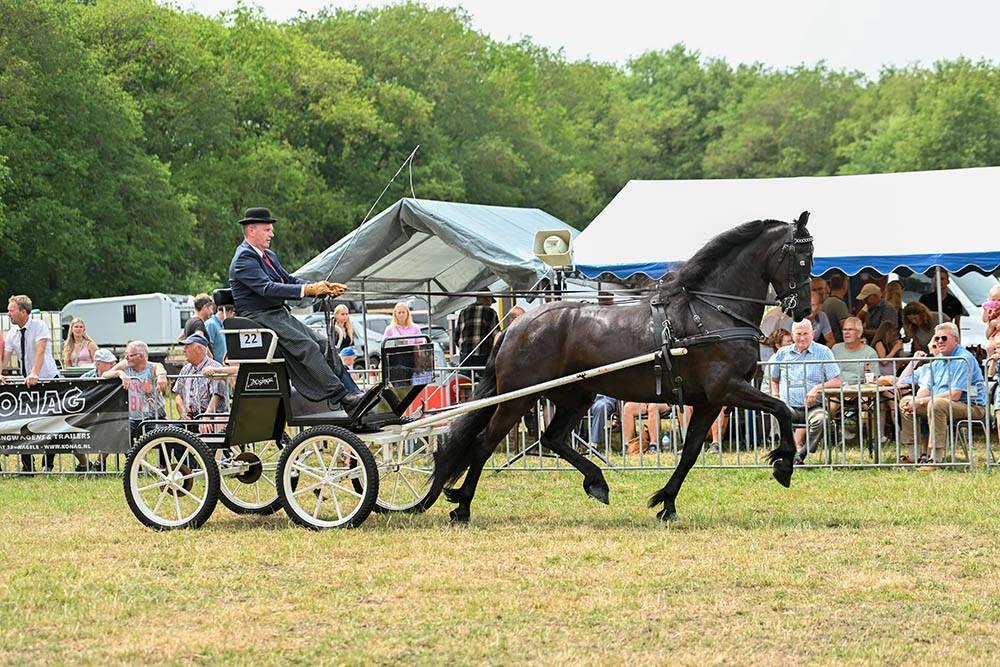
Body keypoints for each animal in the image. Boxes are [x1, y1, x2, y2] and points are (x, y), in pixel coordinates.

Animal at [428, 214, 812, 520]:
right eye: (802, 257)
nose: (804, 309)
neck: (712, 311)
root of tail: (515, 326)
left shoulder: (709, 402)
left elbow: (690, 453)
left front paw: (666, 503)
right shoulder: (727, 388)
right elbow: (782, 409)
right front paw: (784, 464)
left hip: (574, 397)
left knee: (551, 438)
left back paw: (596, 482)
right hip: (518, 398)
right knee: (484, 443)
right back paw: (462, 506)